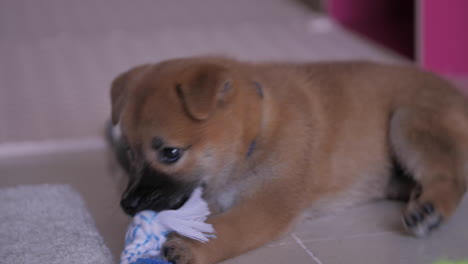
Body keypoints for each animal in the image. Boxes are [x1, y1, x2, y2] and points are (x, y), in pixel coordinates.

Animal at [110, 56, 468, 262]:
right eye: (129, 151)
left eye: (171, 153)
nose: (127, 205)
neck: (256, 135)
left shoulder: (271, 202)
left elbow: (229, 226)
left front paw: (191, 246)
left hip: (408, 120)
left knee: (451, 176)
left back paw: (429, 209)